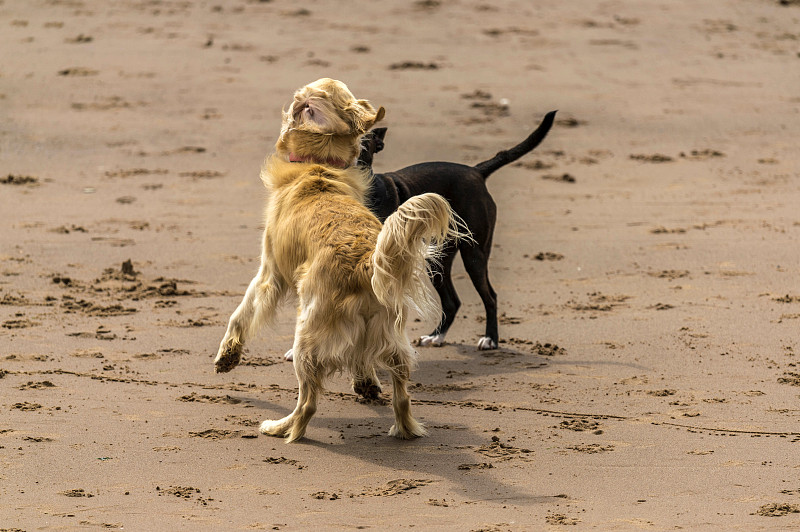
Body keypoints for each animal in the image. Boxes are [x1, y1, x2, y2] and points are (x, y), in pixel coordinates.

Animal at [214, 78, 462, 444]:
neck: (318, 166)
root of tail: (365, 262)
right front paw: (367, 384)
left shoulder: (269, 274)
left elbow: (240, 314)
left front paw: (227, 356)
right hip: (391, 336)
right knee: (400, 395)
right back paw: (402, 426)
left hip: (306, 336)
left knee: (308, 403)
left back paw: (282, 429)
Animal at [360, 110, 552, 352]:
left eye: (364, 146)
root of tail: (475, 171)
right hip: (437, 260)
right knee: (452, 302)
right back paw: (436, 336)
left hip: (474, 254)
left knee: (490, 296)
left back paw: (490, 339)